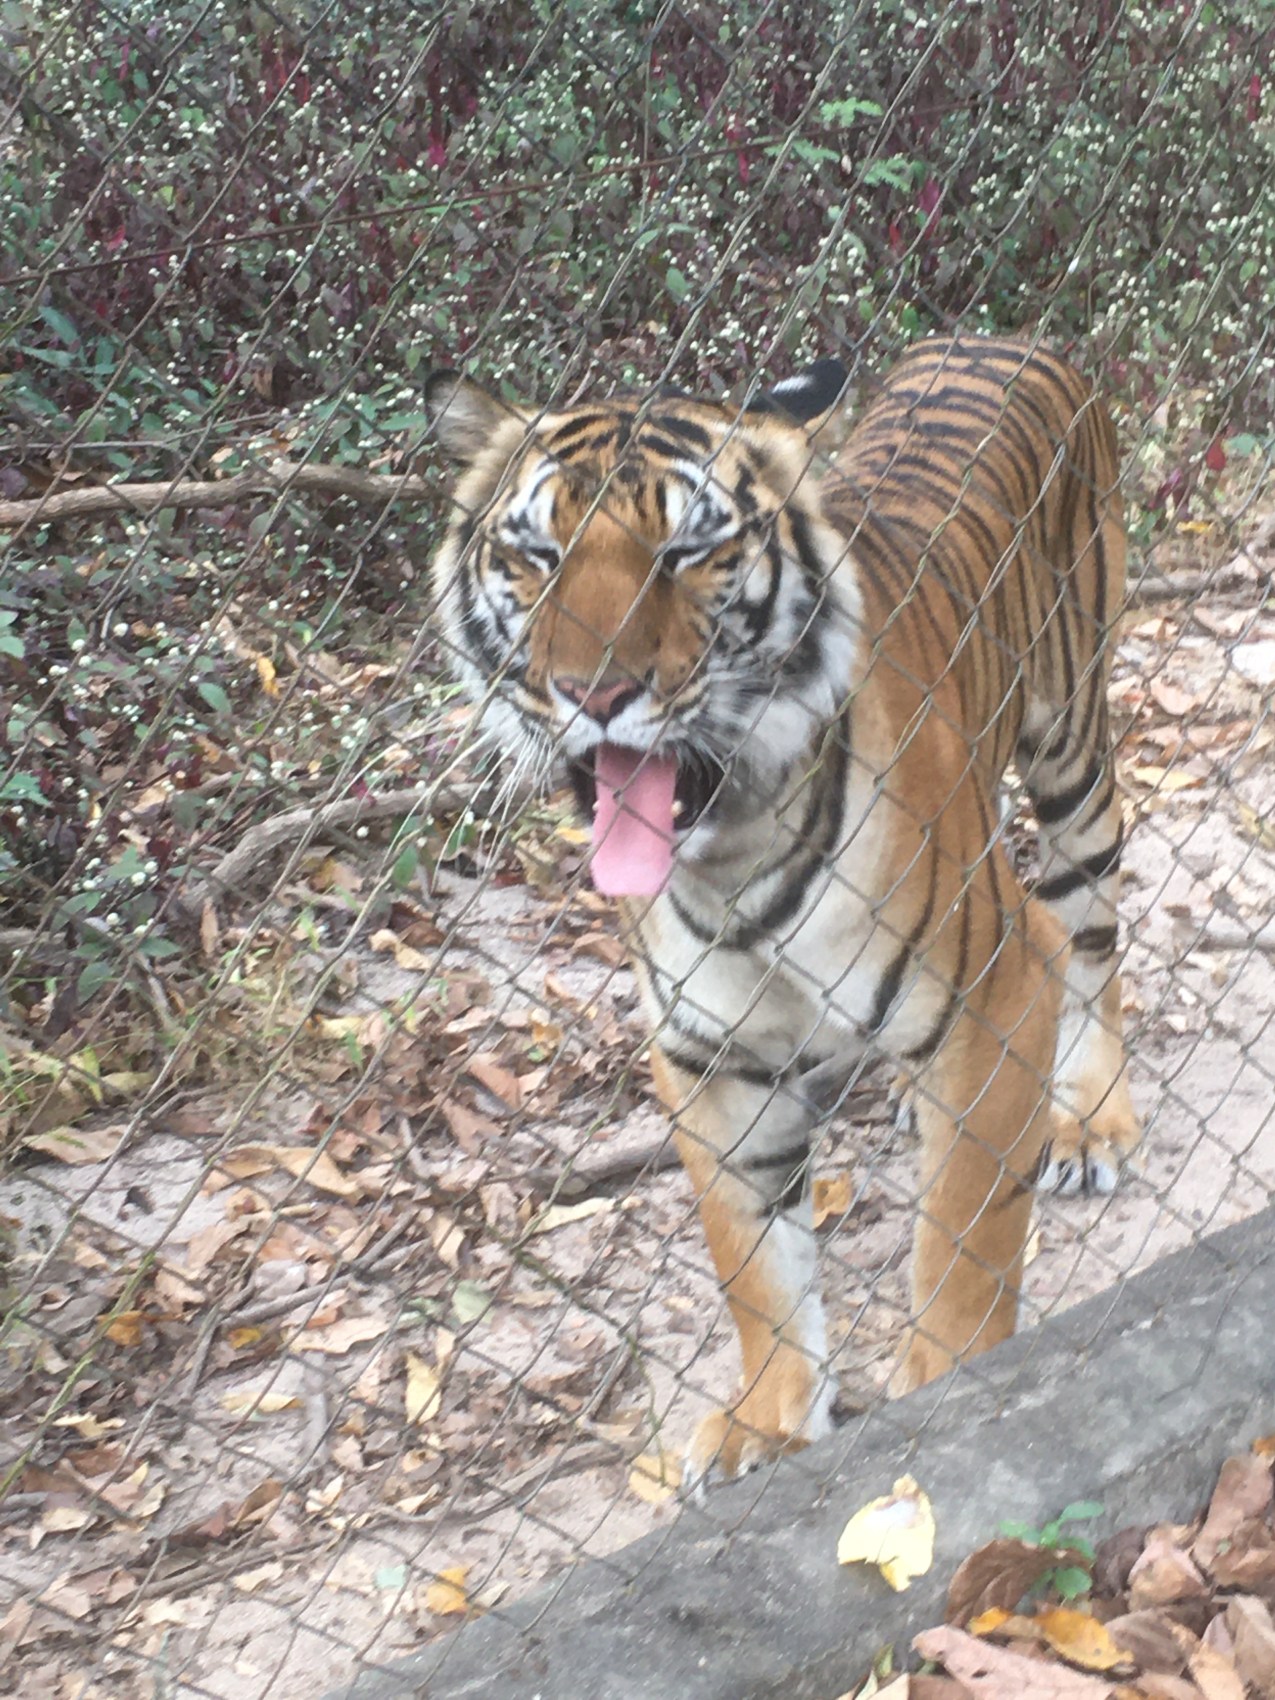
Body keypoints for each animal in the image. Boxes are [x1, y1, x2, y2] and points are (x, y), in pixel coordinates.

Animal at [425, 333, 1141, 1486]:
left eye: (686, 551)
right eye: (536, 554)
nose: (593, 693)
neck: (732, 853)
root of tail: (1004, 338)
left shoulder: (995, 983)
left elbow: (966, 1233)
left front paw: (947, 1387)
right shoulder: (706, 1055)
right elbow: (752, 1259)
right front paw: (769, 1419)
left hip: (1070, 749)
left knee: (1095, 938)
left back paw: (1091, 1117)